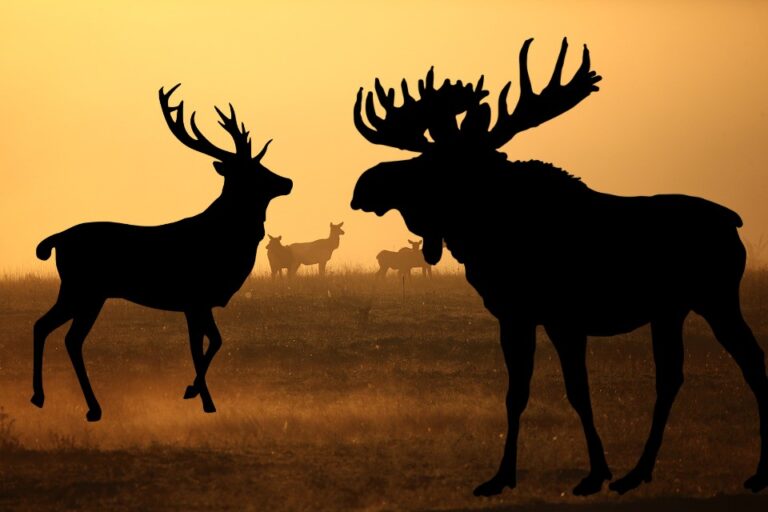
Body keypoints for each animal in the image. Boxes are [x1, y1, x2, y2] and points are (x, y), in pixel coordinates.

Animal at [31, 84, 293, 422]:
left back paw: (47, 398)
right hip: (85, 289)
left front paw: (200, 396)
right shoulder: (195, 297)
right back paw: (87, 406)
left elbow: (208, 343)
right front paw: (198, 395)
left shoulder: (196, 303)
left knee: (48, 327)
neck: (227, 244)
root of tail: (56, 240)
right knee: (67, 336)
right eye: (252, 170)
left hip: (80, 292)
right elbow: (206, 344)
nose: (287, 181)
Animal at [351, 38, 768, 497]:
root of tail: (733, 221)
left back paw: (757, 472)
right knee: (672, 375)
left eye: (439, 163)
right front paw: (503, 476)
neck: (485, 234)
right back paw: (638, 472)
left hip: (717, 298)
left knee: (750, 359)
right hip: (671, 311)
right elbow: (518, 393)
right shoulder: (515, 316)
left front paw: (593, 473)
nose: (364, 184)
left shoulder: (561, 318)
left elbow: (575, 390)